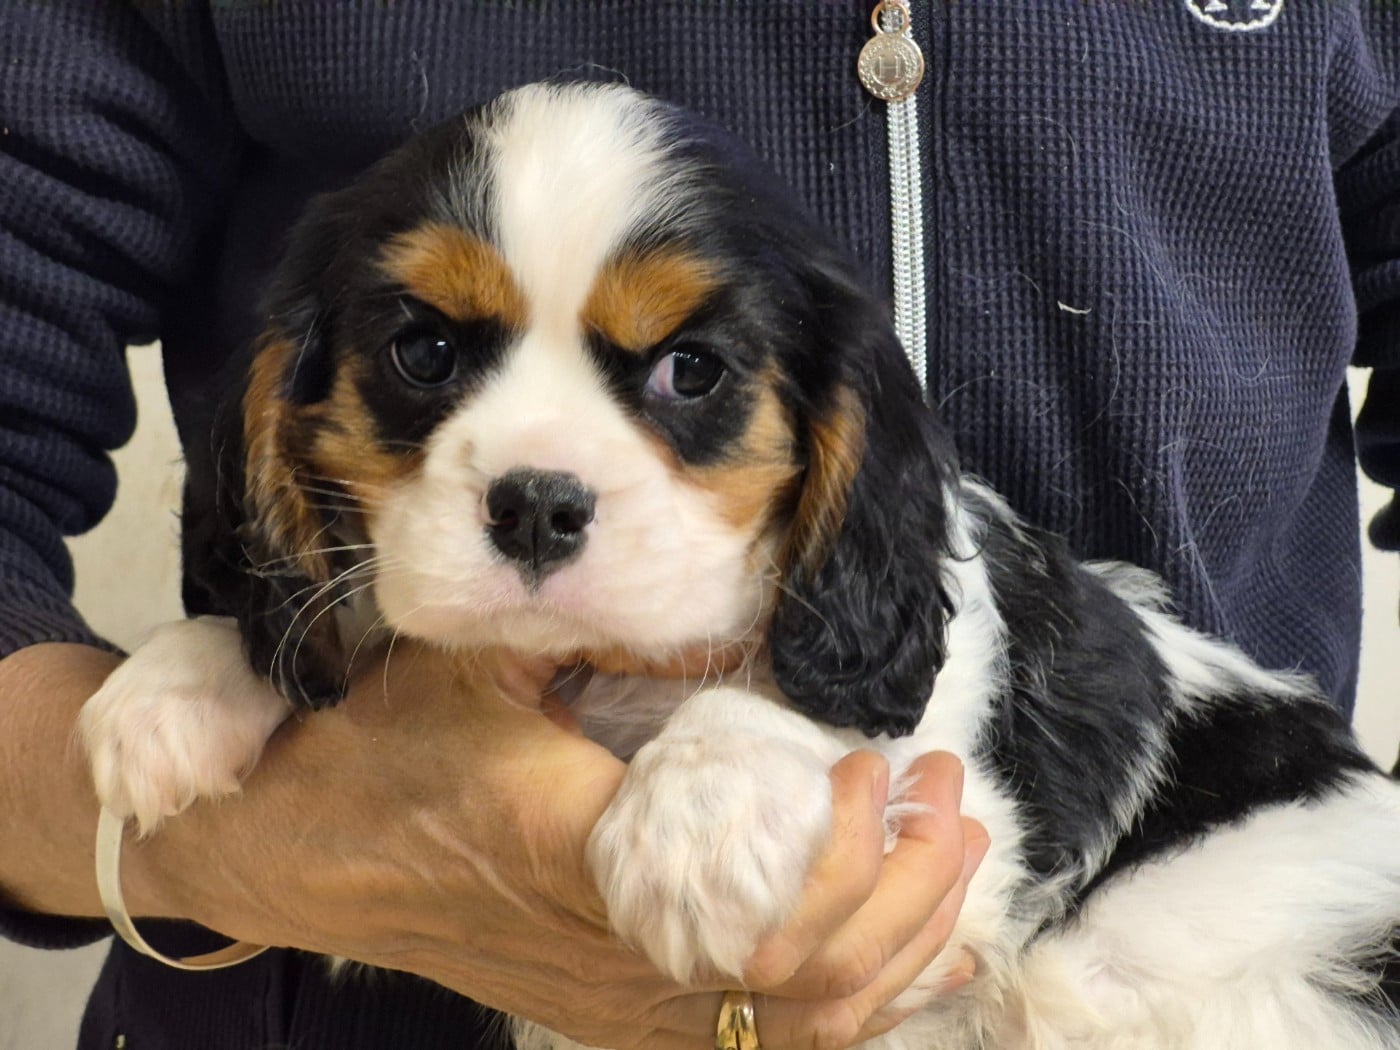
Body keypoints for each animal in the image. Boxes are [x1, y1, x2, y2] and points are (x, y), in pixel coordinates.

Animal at [80, 82, 1400, 1049]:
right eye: (424, 353)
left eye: (691, 371)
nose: (536, 506)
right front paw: (180, 682)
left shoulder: (966, 872)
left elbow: (820, 701)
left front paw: (703, 812)